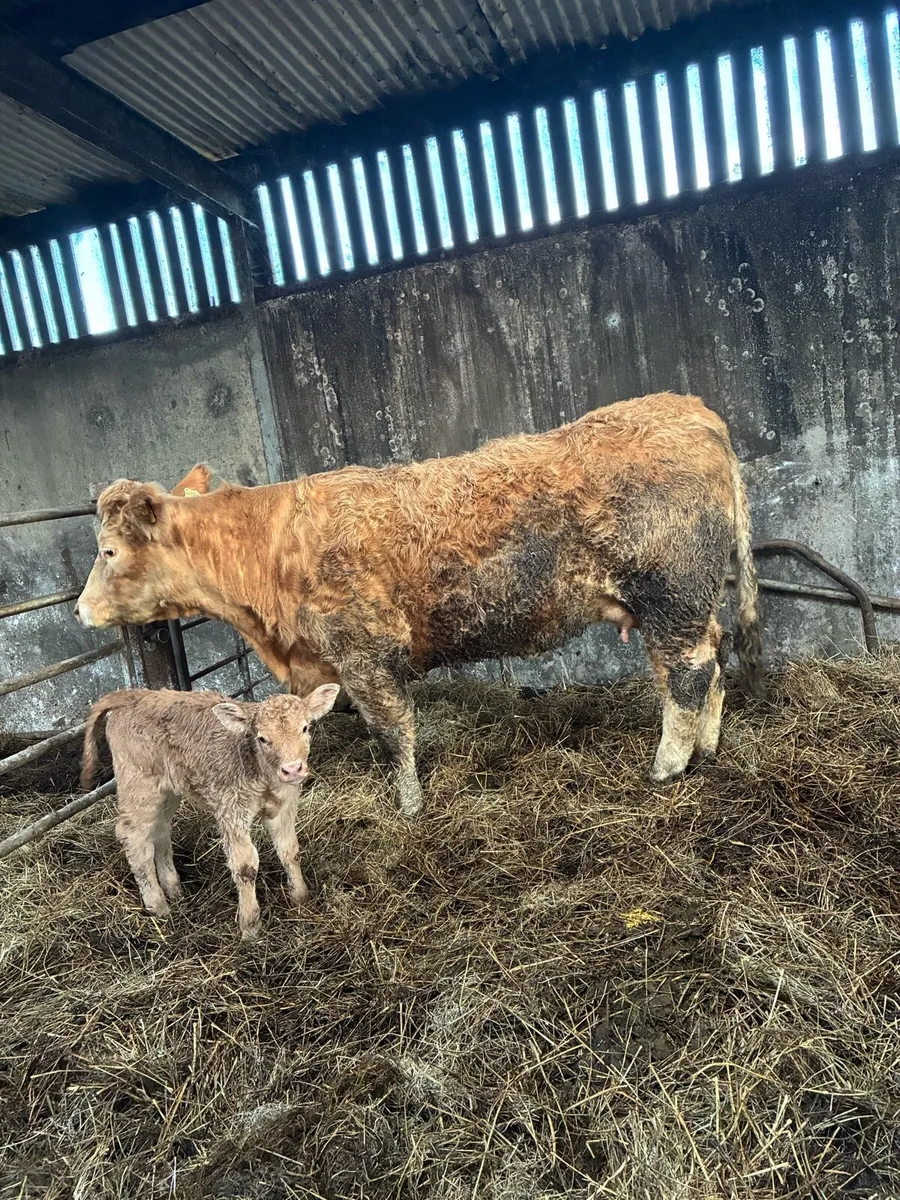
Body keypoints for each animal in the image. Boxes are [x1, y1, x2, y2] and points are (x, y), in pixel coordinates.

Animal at [75, 392, 762, 817]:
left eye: (108, 550)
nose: (79, 611)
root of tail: (690, 409)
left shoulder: (364, 655)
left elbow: (391, 733)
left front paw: (407, 807)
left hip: (671, 593)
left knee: (690, 672)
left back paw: (666, 768)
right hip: (680, 604)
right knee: (709, 660)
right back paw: (704, 751)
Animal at [80, 685, 339, 938]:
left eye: (305, 727)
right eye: (262, 738)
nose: (292, 769)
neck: (261, 771)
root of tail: (133, 694)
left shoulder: (284, 806)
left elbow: (290, 851)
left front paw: (301, 898)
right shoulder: (231, 809)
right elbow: (245, 867)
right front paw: (250, 926)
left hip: (168, 790)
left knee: (159, 830)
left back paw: (174, 889)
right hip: (139, 786)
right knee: (133, 837)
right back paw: (158, 906)